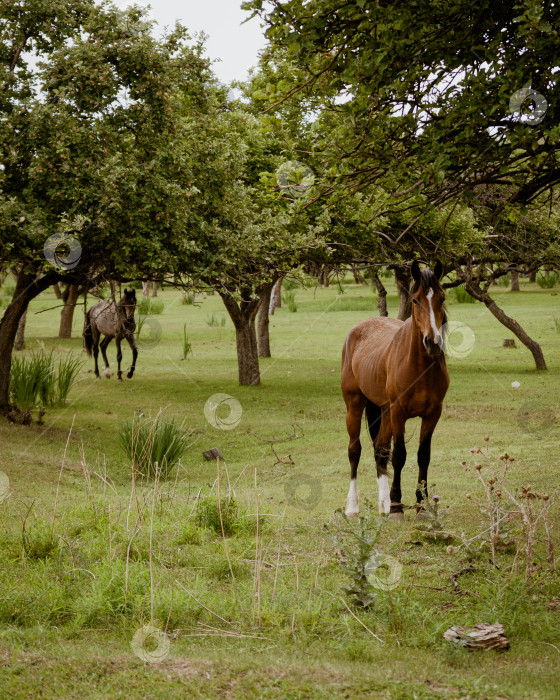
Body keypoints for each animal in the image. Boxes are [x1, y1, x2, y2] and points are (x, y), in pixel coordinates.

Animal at [340, 262, 448, 520]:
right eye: (416, 300)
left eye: (442, 298)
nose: (432, 342)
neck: (420, 368)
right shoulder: (399, 412)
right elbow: (399, 455)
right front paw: (398, 505)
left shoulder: (432, 414)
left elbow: (423, 456)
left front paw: (421, 505)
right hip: (355, 406)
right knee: (354, 450)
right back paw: (353, 507)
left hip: (384, 410)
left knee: (380, 450)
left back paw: (384, 504)